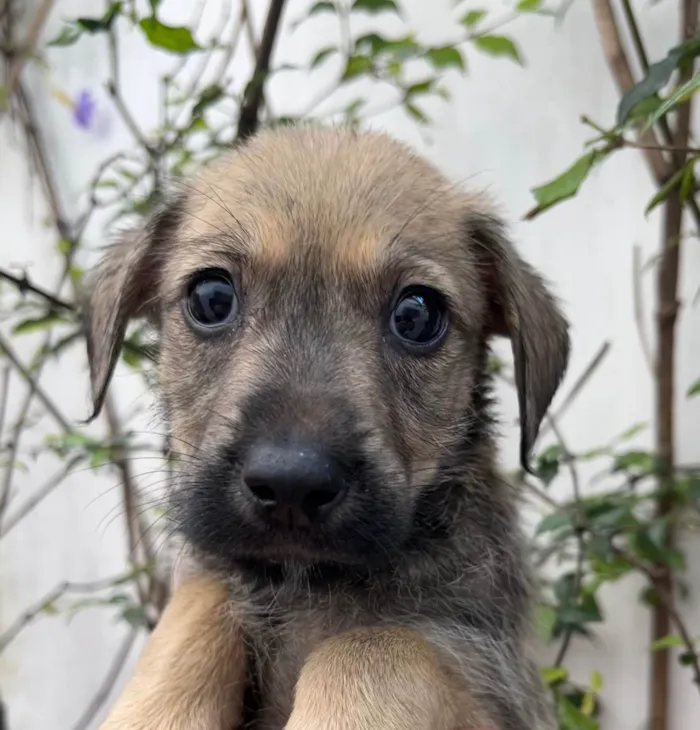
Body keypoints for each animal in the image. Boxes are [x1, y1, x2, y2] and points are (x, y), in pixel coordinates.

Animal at [86, 126, 568, 728]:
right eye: (211, 297)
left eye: (417, 315)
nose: (291, 485)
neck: (306, 583)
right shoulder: (212, 579)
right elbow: (200, 603)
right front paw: (156, 708)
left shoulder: (491, 685)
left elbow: (372, 648)